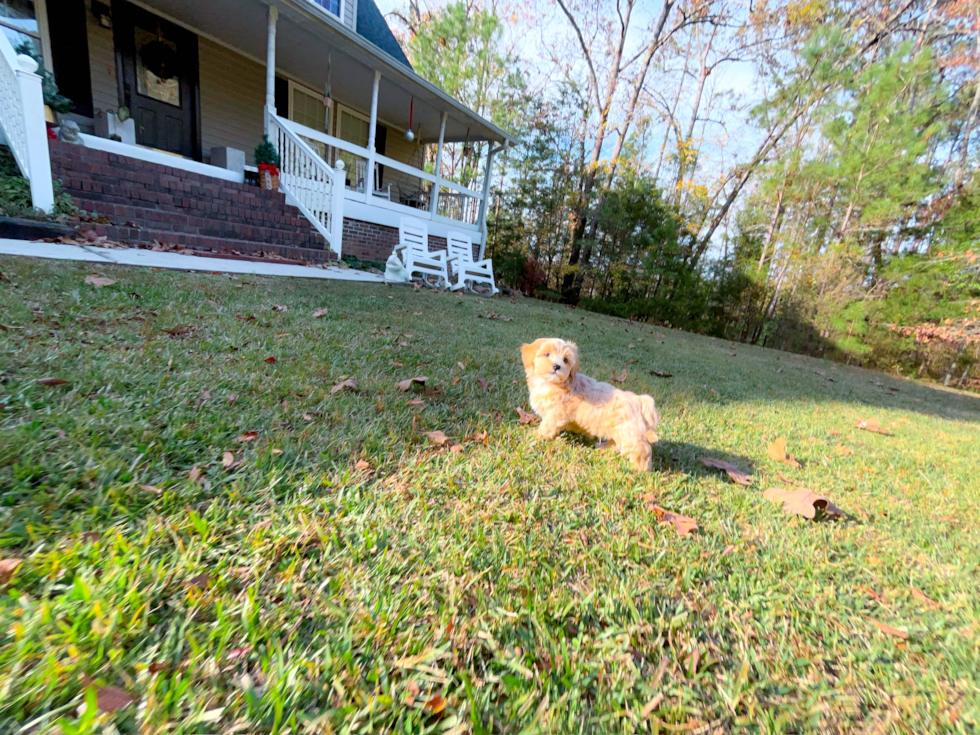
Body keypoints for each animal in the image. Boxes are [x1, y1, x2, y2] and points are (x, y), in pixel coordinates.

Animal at [520, 338, 660, 472]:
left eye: (565, 360)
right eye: (546, 354)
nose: (556, 366)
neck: (549, 383)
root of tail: (638, 399)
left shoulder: (556, 414)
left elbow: (547, 427)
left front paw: (534, 436)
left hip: (627, 431)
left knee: (641, 448)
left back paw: (640, 470)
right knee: (617, 444)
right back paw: (603, 448)